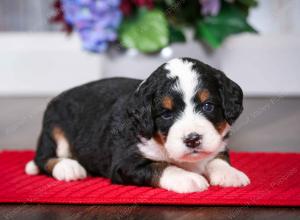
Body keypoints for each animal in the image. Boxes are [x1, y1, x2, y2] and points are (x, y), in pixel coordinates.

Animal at [25, 57, 251, 192]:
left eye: (208, 106)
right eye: (166, 114)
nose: (193, 139)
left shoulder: (217, 143)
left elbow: (218, 157)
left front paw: (230, 173)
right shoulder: (125, 163)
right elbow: (162, 166)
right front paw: (188, 178)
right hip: (55, 129)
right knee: (43, 158)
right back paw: (68, 167)